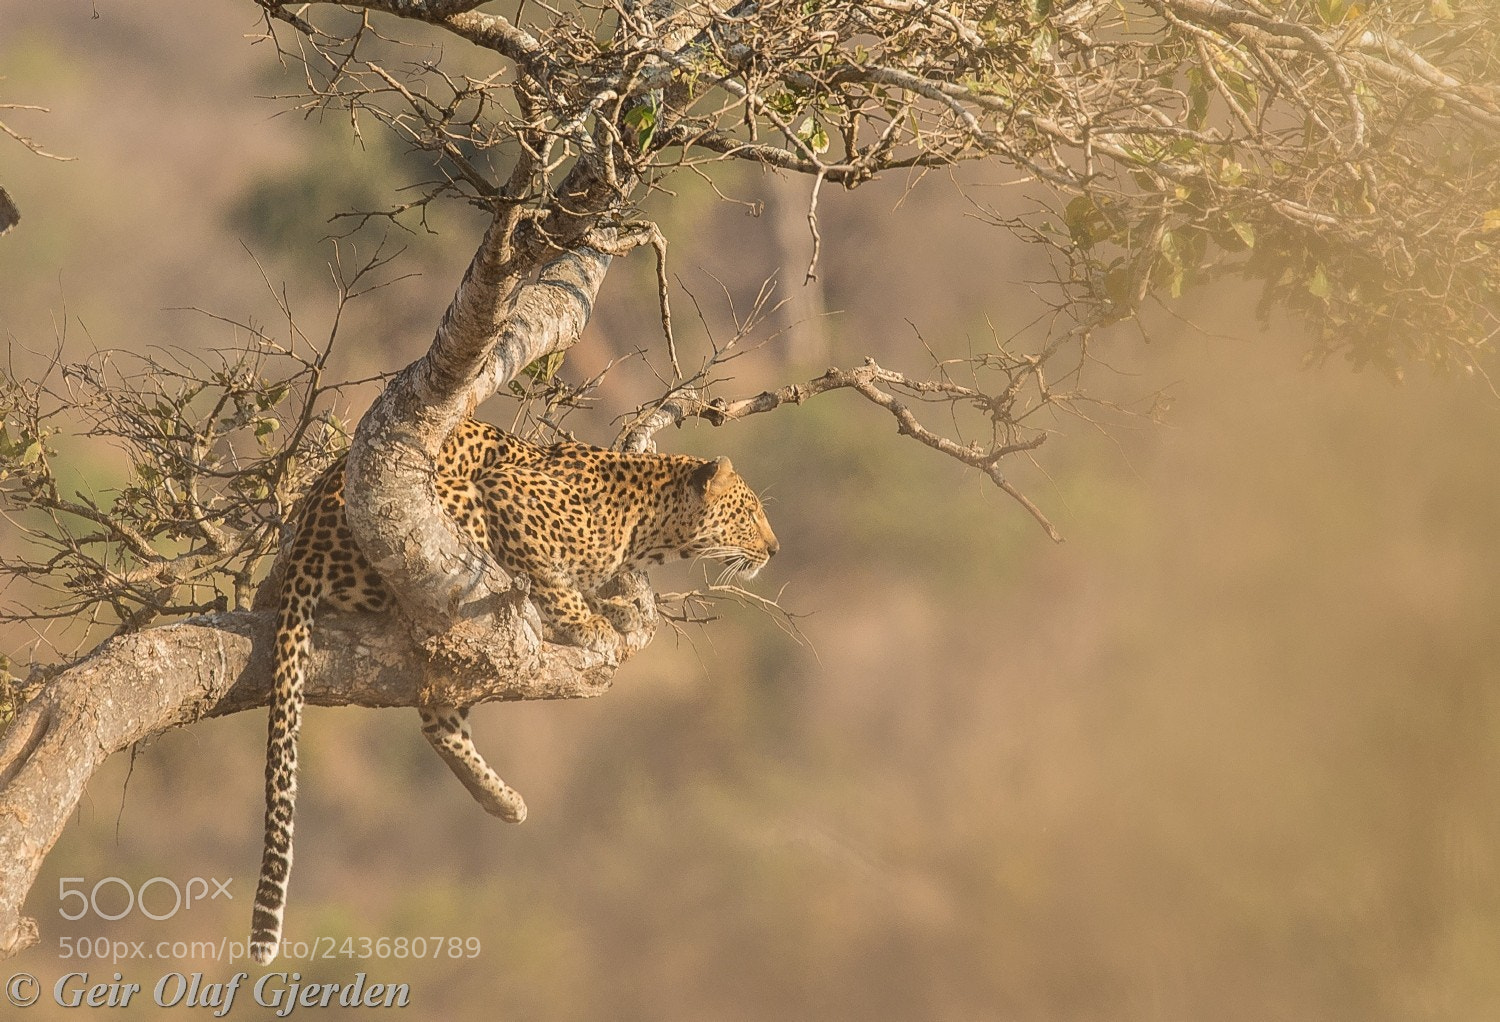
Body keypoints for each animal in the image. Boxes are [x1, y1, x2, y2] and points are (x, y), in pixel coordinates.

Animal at [250, 418, 778, 964]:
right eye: (749, 513)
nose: (775, 549)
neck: (645, 527)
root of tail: (304, 550)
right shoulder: (508, 494)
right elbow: (551, 579)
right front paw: (589, 622)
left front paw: (614, 607)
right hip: (449, 517)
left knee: (439, 721)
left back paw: (502, 801)